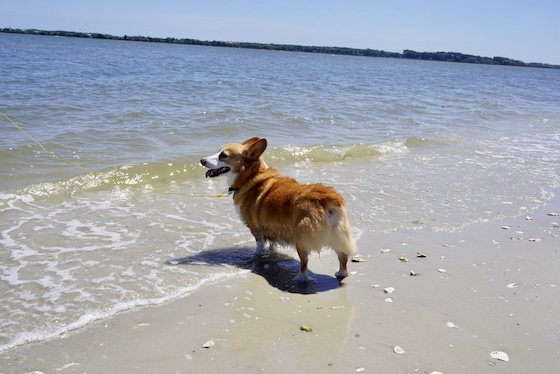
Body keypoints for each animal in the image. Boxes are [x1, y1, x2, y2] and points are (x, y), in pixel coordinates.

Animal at [200, 138, 354, 284]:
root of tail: (327, 198)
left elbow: (259, 246)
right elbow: (272, 243)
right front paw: (271, 253)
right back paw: (341, 273)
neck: (250, 176)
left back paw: (300, 279)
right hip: (338, 235)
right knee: (343, 257)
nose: (202, 160)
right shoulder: (271, 228)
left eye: (223, 155)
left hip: (302, 239)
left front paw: (255, 256)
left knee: (304, 262)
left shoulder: (256, 229)